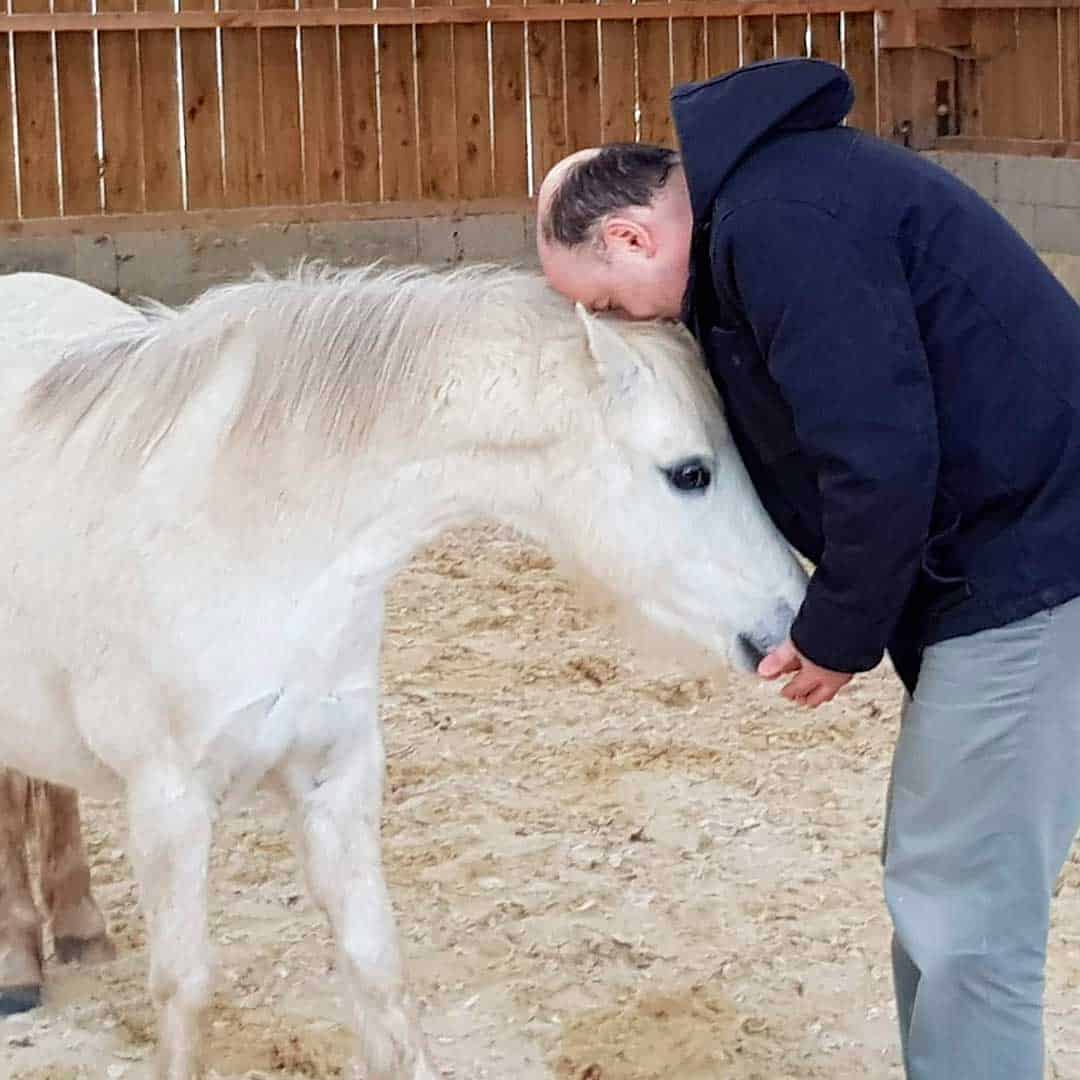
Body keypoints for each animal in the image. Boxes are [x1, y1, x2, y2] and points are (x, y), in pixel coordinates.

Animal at [0, 263, 808, 1079]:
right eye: (690, 473)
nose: (788, 617)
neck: (253, 528)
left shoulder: (335, 773)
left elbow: (375, 966)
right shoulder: (170, 801)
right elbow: (184, 987)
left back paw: (76, 928)